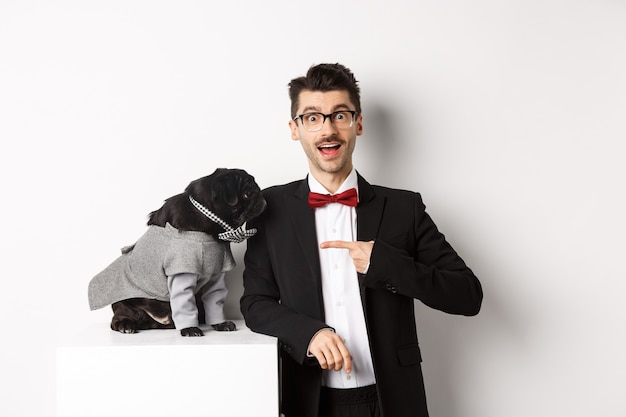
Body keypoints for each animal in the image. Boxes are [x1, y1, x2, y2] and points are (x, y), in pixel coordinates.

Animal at [86, 167, 266, 336]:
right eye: (247, 194)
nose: (261, 196)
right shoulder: (181, 272)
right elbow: (184, 303)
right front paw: (190, 329)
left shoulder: (216, 274)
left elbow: (214, 301)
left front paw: (220, 324)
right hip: (125, 302)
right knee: (118, 318)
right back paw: (126, 325)